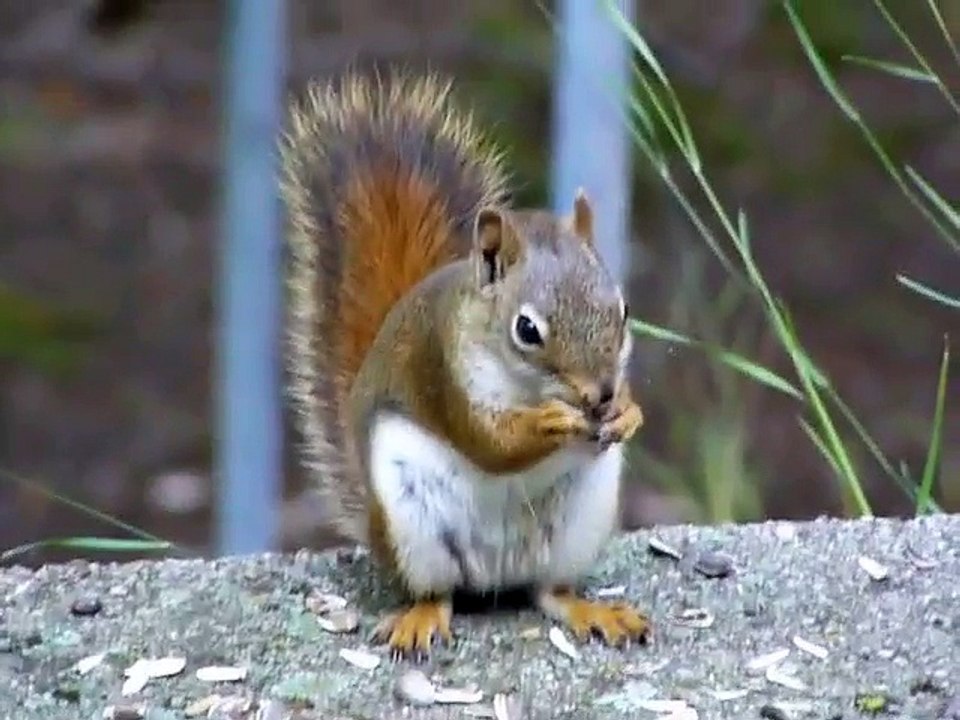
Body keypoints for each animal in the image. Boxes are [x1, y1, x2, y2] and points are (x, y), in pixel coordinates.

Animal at [279, 70, 649, 659]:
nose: (601, 396)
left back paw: (594, 611)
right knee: (437, 591)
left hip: (579, 527)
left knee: (550, 593)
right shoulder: (442, 372)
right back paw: (420, 618)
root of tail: (495, 575)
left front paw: (629, 413)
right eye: (527, 329)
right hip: (413, 529)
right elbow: (490, 442)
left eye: (624, 309)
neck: (525, 385)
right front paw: (551, 423)